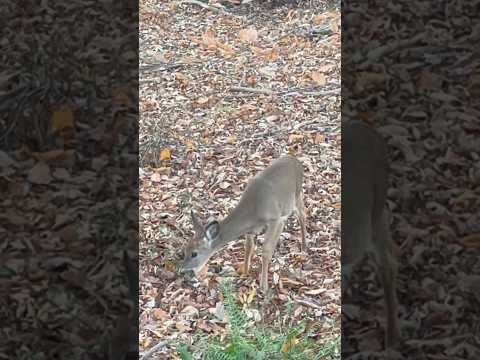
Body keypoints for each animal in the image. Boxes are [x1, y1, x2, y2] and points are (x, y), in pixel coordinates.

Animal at [178, 155, 306, 292]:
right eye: (185, 250)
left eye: (194, 253)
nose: (182, 270)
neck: (253, 211)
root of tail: (295, 160)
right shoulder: (251, 230)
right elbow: (248, 247)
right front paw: (245, 272)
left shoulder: (275, 219)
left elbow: (266, 250)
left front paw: (264, 286)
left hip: (296, 194)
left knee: (302, 215)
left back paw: (304, 246)